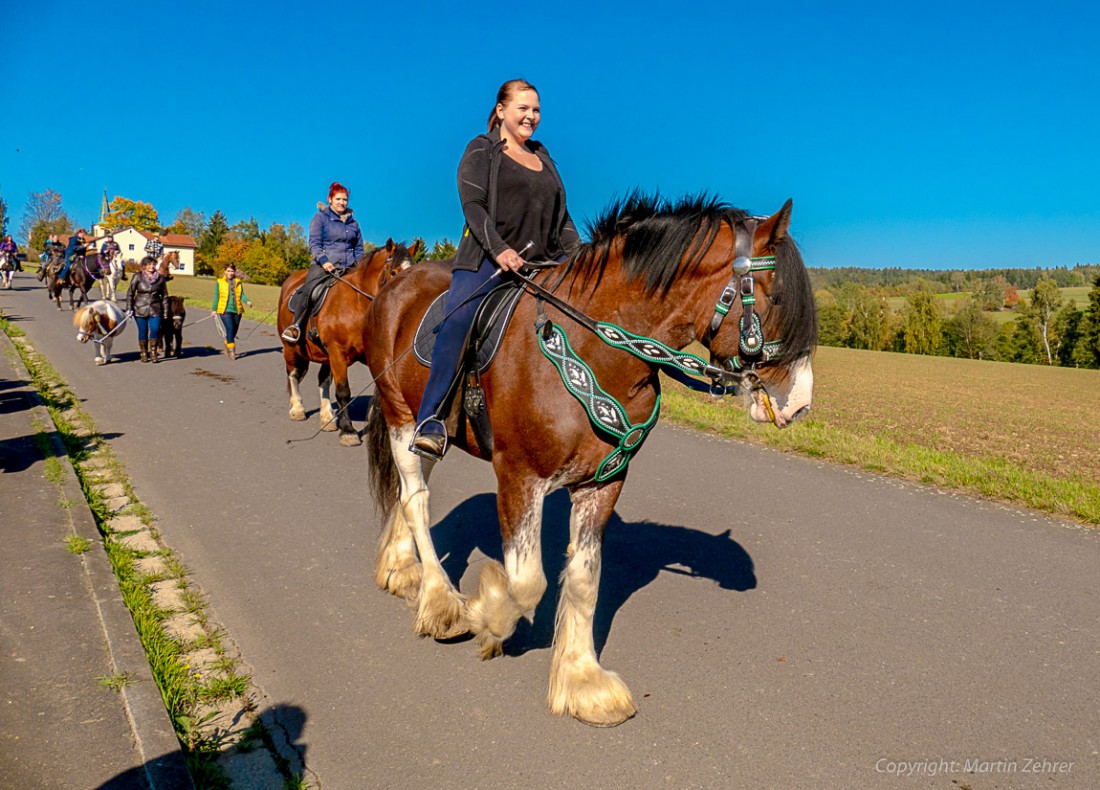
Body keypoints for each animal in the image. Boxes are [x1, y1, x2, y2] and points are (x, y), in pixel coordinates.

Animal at [277, 240, 418, 444]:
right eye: (394, 272)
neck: (357, 305)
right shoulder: (337, 351)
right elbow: (343, 391)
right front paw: (348, 431)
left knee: (323, 380)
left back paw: (327, 417)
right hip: (291, 348)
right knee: (293, 374)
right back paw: (297, 409)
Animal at [365, 194, 822, 726]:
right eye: (777, 300)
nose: (800, 404)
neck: (597, 348)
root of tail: (397, 284)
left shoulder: (604, 481)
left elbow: (585, 580)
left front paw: (582, 681)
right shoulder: (518, 477)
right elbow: (527, 583)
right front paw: (487, 612)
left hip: (427, 428)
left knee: (409, 489)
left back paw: (402, 569)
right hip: (399, 414)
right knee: (416, 500)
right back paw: (441, 602)